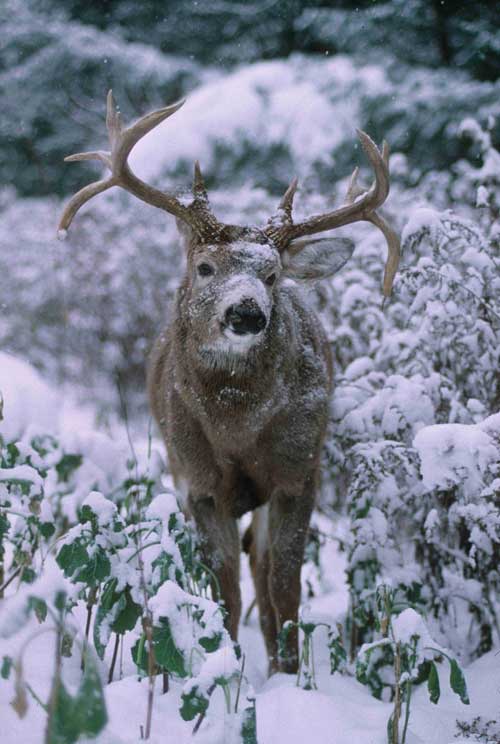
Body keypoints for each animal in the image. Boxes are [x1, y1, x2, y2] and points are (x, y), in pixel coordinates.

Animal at [59, 90, 398, 672]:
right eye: (205, 267)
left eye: (272, 275)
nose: (247, 312)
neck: (237, 426)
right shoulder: (197, 479)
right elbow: (224, 588)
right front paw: (222, 661)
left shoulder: (298, 471)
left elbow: (282, 585)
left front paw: (290, 673)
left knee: (263, 569)